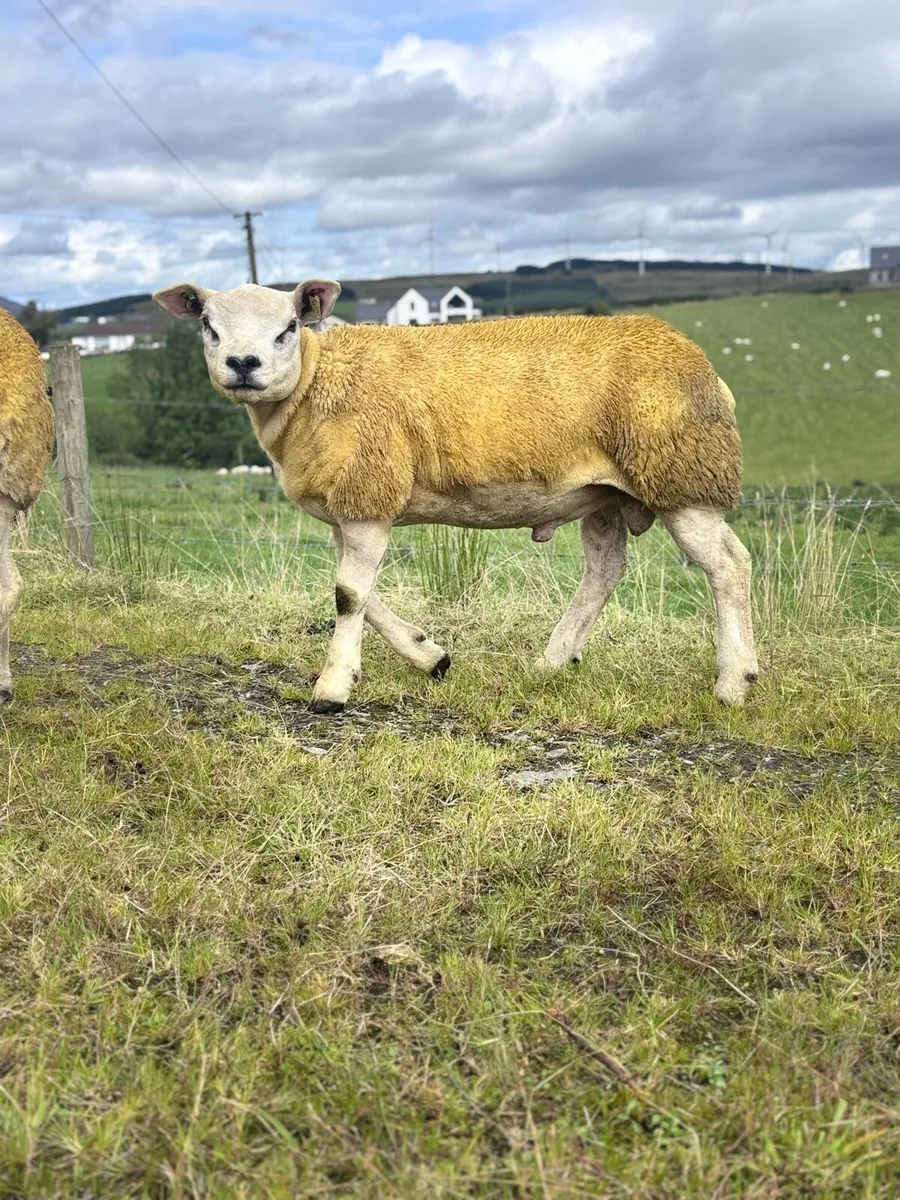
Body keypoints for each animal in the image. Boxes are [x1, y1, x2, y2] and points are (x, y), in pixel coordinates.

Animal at [153, 280, 758, 713]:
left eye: (288, 327)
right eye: (208, 326)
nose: (243, 364)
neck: (314, 383)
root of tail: (707, 370)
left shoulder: (367, 493)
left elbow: (348, 596)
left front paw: (333, 688)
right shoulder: (353, 504)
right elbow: (360, 595)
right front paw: (431, 656)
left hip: (683, 477)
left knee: (729, 565)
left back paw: (735, 681)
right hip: (603, 494)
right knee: (605, 569)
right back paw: (552, 661)